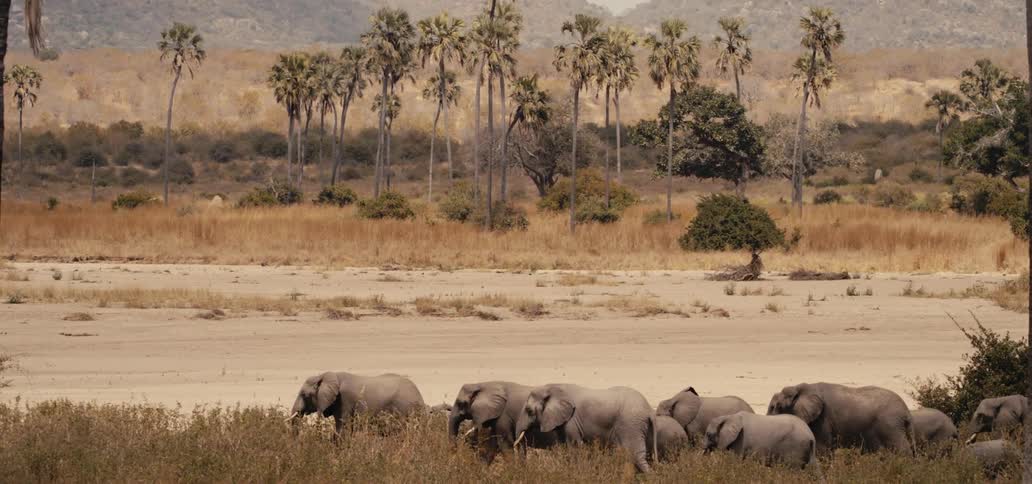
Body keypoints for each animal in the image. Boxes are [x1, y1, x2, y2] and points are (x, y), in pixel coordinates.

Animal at [514, 384, 657, 473]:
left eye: (529, 410)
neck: (551, 388)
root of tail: (649, 410)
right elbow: (565, 447)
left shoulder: (572, 421)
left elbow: (575, 447)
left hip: (631, 425)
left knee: (636, 455)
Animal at [767, 382, 914, 453]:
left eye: (776, 407)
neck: (798, 388)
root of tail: (906, 412)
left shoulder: (823, 419)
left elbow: (822, 448)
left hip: (890, 425)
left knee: (901, 448)